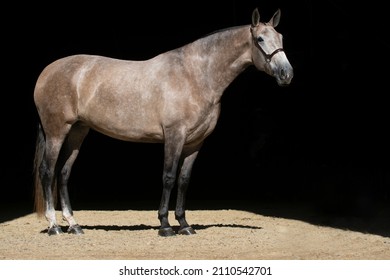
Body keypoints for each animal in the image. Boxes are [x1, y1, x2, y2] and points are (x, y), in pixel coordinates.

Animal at [32, 7, 292, 236]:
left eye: (280, 37)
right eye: (260, 39)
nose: (286, 74)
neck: (195, 75)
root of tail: (46, 72)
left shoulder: (195, 142)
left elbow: (184, 180)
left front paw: (185, 225)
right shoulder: (174, 135)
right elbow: (168, 177)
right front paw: (165, 225)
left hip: (78, 131)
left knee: (64, 173)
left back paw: (73, 225)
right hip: (57, 132)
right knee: (47, 171)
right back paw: (54, 226)